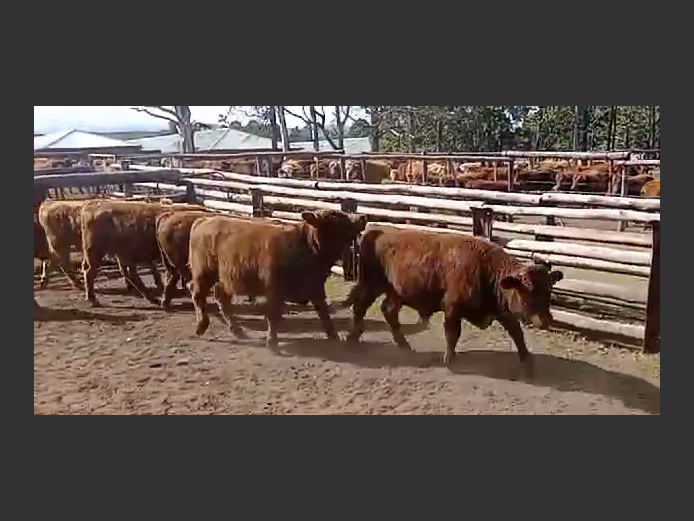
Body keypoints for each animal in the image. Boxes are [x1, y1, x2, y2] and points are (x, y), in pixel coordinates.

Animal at [188, 207, 368, 346]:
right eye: (335, 218)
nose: (362, 217)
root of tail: (203, 220)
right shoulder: (274, 288)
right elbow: (273, 313)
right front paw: (272, 340)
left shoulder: (315, 286)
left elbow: (323, 311)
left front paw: (334, 336)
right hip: (204, 273)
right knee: (197, 293)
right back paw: (201, 326)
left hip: (225, 278)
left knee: (220, 295)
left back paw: (238, 331)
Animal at [342, 229, 564, 374]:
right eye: (528, 289)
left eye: (549, 289)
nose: (545, 319)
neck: (487, 269)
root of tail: (379, 232)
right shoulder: (452, 308)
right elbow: (452, 333)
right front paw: (449, 359)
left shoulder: (504, 312)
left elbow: (517, 334)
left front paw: (527, 361)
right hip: (372, 285)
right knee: (361, 306)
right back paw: (352, 338)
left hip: (395, 293)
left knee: (388, 310)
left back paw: (402, 345)